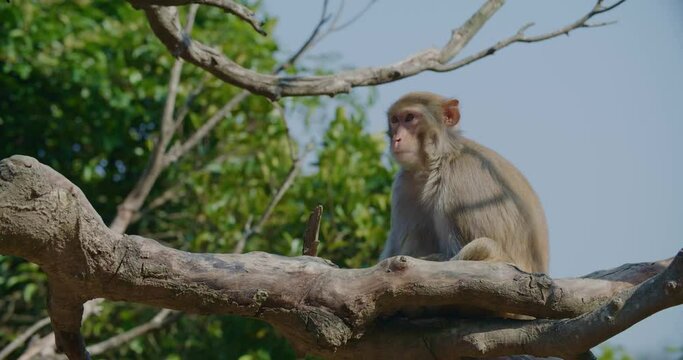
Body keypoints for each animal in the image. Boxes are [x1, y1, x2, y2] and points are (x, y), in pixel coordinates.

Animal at [380, 92, 552, 272]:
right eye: (395, 120)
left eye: (409, 117)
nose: (397, 139)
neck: (438, 161)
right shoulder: (403, 185)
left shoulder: (460, 185)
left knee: (483, 246)